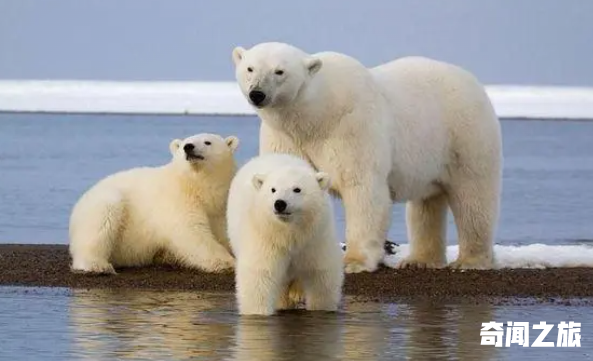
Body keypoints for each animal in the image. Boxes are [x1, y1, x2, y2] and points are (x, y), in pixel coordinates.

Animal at [71, 132, 240, 272]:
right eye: (184, 143)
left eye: (207, 142)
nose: (188, 147)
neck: (196, 185)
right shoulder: (177, 199)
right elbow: (191, 231)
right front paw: (228, 262)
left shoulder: (219, 207)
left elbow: (222, 231)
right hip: (102, 205)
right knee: (103, 219)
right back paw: (97, 264)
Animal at [225, 153, 342, 314]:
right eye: (273, 189)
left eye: (297, 189)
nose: (279, 203)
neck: (289, 232)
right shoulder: (266, 237)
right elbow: (259, 275)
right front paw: (258, 313)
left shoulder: (315, 238)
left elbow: (321, 274)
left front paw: (321, 309)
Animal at [231, 41, 500, 272]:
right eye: (250, 68)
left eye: (279, 71)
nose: (257, 93)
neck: (317, 115)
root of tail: (473, 81)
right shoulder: (285, 137)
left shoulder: (352, 126)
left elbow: (362, 188)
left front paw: (354, 261)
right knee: (426, 203)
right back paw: (420, 260)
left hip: (465, 135)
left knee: (473, 196)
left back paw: (471, 260)